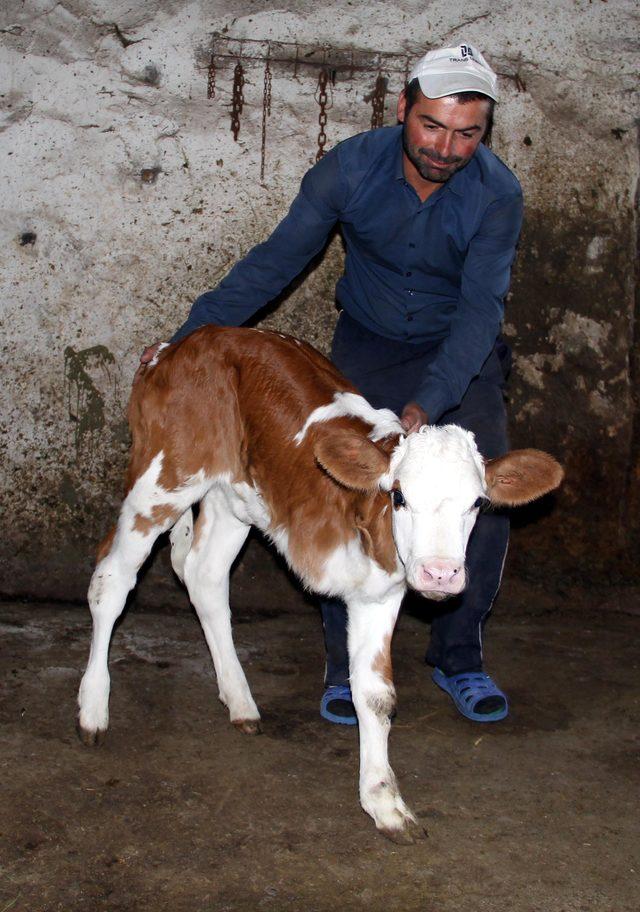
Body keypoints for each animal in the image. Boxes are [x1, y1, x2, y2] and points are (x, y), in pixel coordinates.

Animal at [77, 324, 564, 844]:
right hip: (161, 478)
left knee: (205, 578)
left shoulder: (381, 592)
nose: (440, 572)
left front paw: (384, 802)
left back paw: (240, 701)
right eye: (399, 496)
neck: (367, 511)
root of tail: (184, 343)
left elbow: (375, 694)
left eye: (476, 503)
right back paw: (93, 708)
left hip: (234, 498)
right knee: (111, 578)